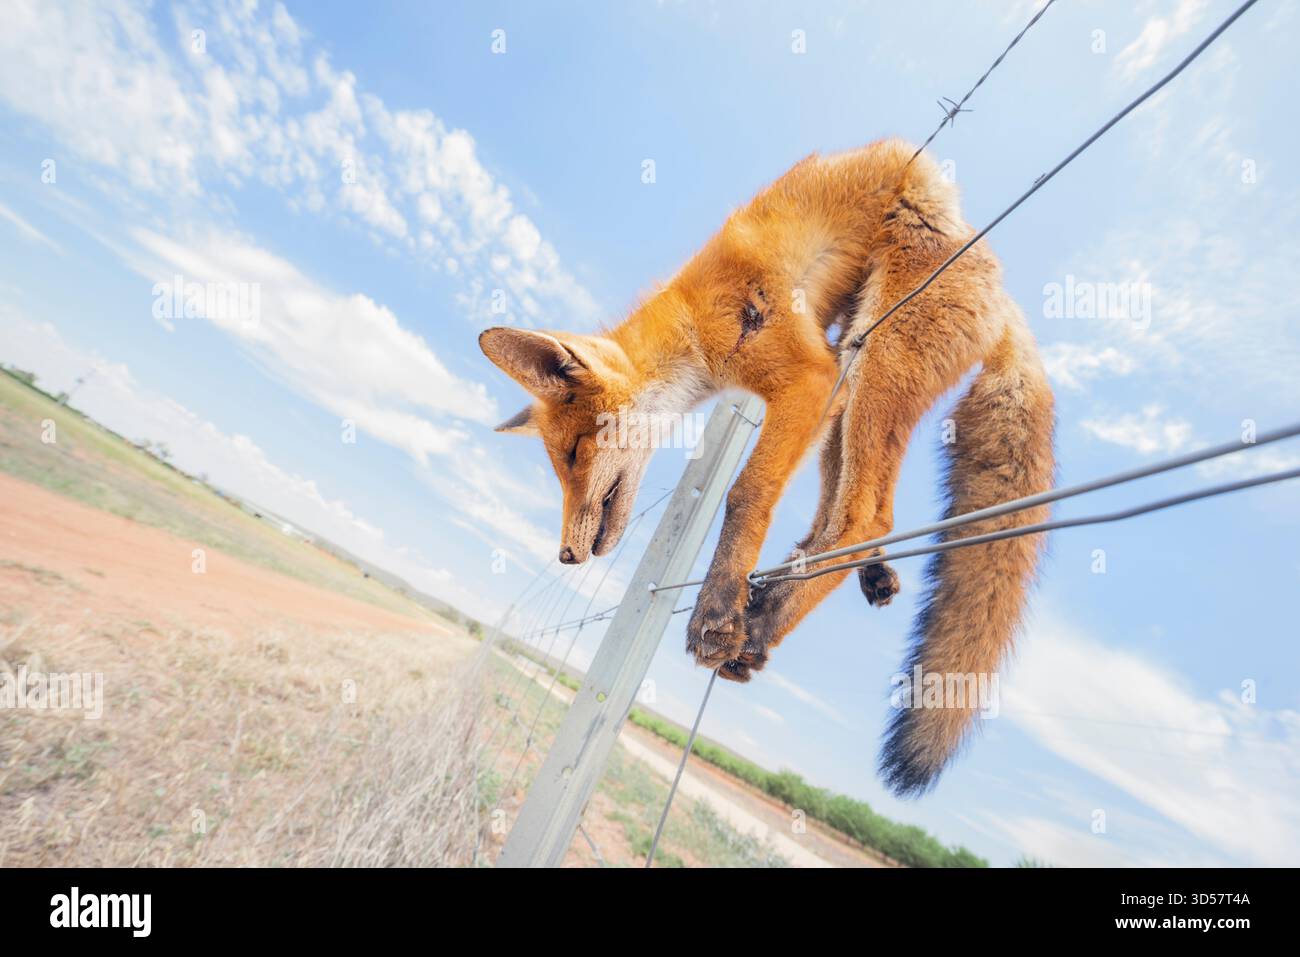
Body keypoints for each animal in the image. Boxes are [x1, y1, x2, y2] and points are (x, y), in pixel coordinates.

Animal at [479, 138, 1055, 796]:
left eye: (574, 454)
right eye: (559, 465)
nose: (567, 556)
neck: (691, 322)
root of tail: (1004, 295)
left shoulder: (807, 378)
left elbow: (745, 494)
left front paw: (717, 608)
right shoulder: (814, 384)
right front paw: (735, 603)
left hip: (871, 359)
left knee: (867, 518)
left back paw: (766, 619)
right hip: (850, 380)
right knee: (848, 518)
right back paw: (833, 584)